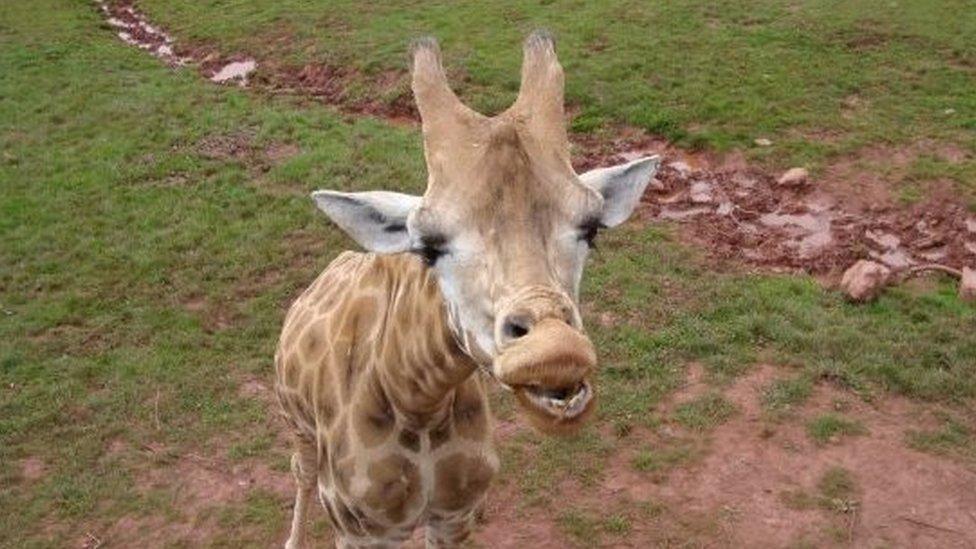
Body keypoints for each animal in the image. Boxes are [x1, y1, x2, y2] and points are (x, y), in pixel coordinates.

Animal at [270, 31, 660, 548]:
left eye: (591, 229)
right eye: (429, 246)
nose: (554, 348)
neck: (420, 404)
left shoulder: (457, 515)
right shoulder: (362, 530)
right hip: (296, 425)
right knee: (300, 471)